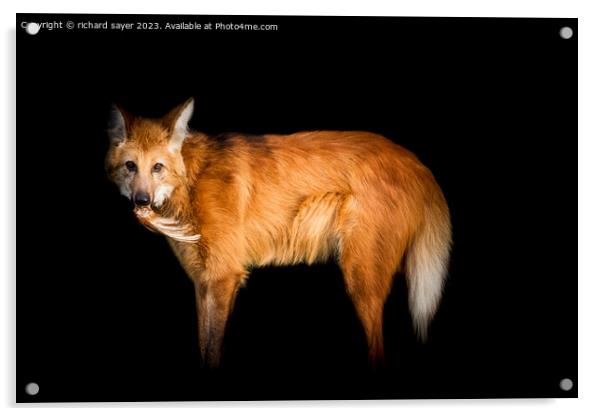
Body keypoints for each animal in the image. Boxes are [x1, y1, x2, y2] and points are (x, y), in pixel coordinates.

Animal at [104, 98, 450, 370]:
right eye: (131, 166)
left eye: (158, 167)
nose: (142, 201)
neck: (191, 181)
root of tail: (418, 164)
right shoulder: (202, 281)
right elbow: (203, 345)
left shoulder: (224, 276)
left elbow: (213, 349)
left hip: (360, 277)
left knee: (378, 349)